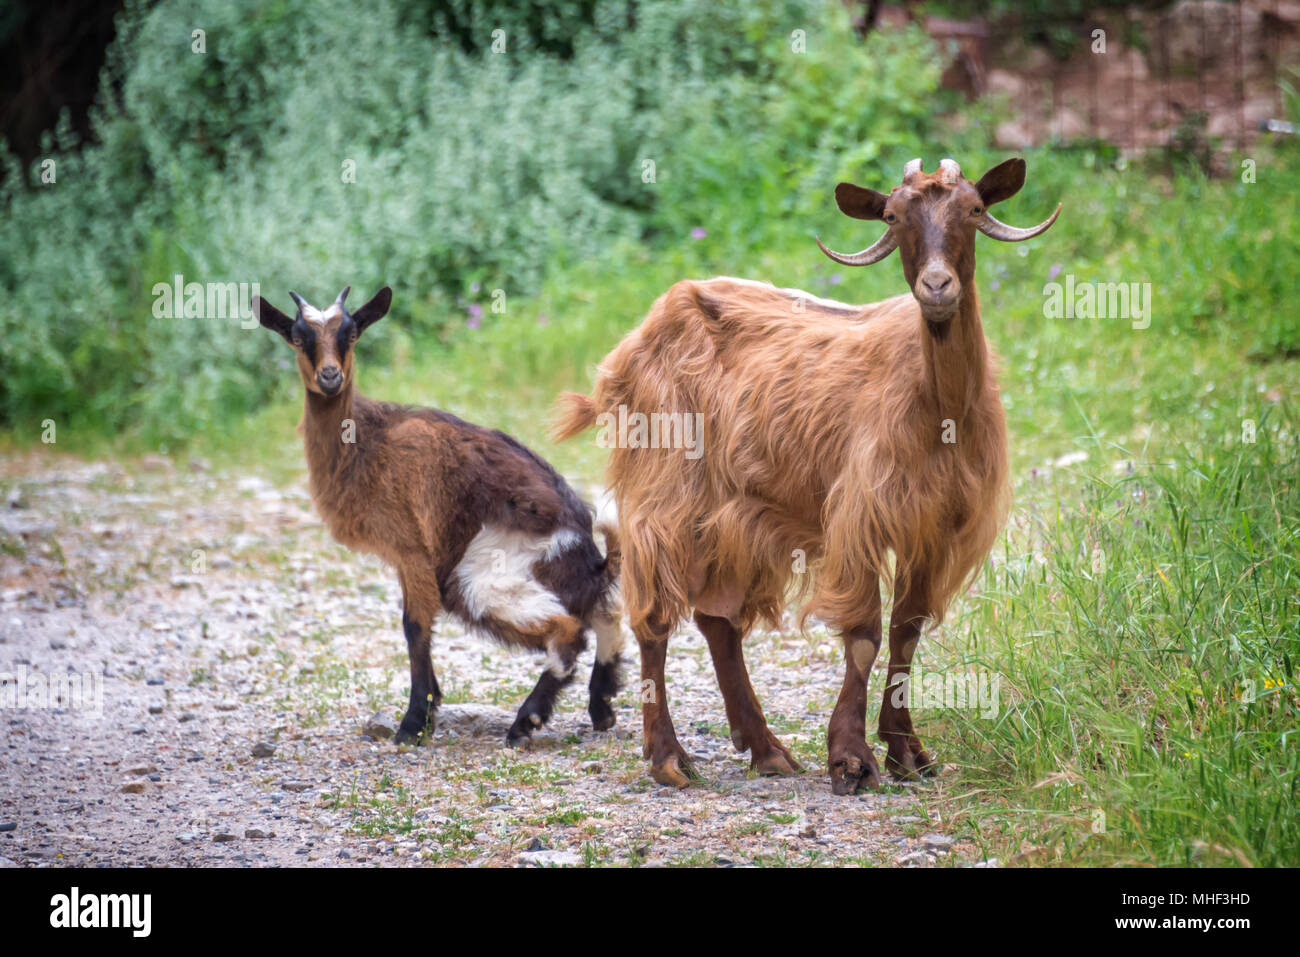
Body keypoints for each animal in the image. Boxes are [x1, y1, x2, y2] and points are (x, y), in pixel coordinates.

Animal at [254, 285, 624, 747]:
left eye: (351, 333)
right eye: (298, 336)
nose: (329, 377)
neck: (367, 442)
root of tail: (589, 555)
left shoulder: (412, 548)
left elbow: (414, 626)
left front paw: (413, 722)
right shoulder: (407, 559)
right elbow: (417, 626)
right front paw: (429, 711)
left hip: (484, 575)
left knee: (568, 630)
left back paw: (526, 722)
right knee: (606, 611)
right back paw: (601, 706)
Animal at [553, 157, 1058, 792]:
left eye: (973, 209)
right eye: (893, 216)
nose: (938, 287)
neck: (938, 404)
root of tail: (633, 343)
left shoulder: (934, 525)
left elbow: (908, 629)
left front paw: (907, 751)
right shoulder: (861, 512)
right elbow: (865, 634)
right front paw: (852, 758)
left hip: (739, 510)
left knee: (717, 620)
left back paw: (766, 748)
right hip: (666, 489)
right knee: (654, 615)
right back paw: (669, 758)